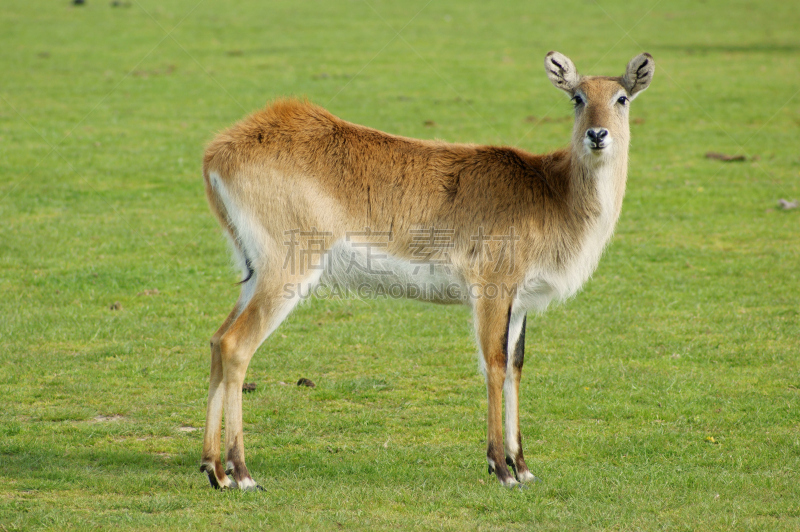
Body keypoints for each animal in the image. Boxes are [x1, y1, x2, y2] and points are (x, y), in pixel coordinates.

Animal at [200, 52, 656, 488]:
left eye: (622, 98)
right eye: (577, 97)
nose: (597, 135)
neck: (553, 192)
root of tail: (217, 151)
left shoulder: (521, 302)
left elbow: (515, 365)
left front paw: (523, 467)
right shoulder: (492, 291)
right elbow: (493, 364)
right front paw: (501, 469)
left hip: (253, 274)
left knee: (217, 339)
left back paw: (215, 470)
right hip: (287, 272)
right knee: (236, 346)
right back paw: (243, 474)